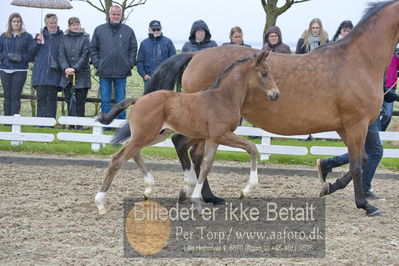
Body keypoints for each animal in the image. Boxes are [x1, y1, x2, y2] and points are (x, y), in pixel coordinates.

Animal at [95, 51, 280, 215]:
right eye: (264, 73)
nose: (276, 94)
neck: (224, 98)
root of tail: (139, 99)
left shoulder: (212, 139)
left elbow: (206, 166)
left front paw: (197, 200)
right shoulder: (221, 135)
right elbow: (252, 148)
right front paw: (246, 190)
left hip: (155, 135)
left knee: (131, 151)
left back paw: (148, 187)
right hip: (145, 135)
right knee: (117, 159)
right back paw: (101, 203)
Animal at [145, 0, 399, 216]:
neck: (359, 60)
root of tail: (195, 55)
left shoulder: (346, 127)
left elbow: (362, 159)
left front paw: (329, 185)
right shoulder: (356, 124)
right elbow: (357, 164)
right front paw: (364, 204)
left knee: (193, 153)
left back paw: (207, 196)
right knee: (189, 149)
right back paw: (200, 194)